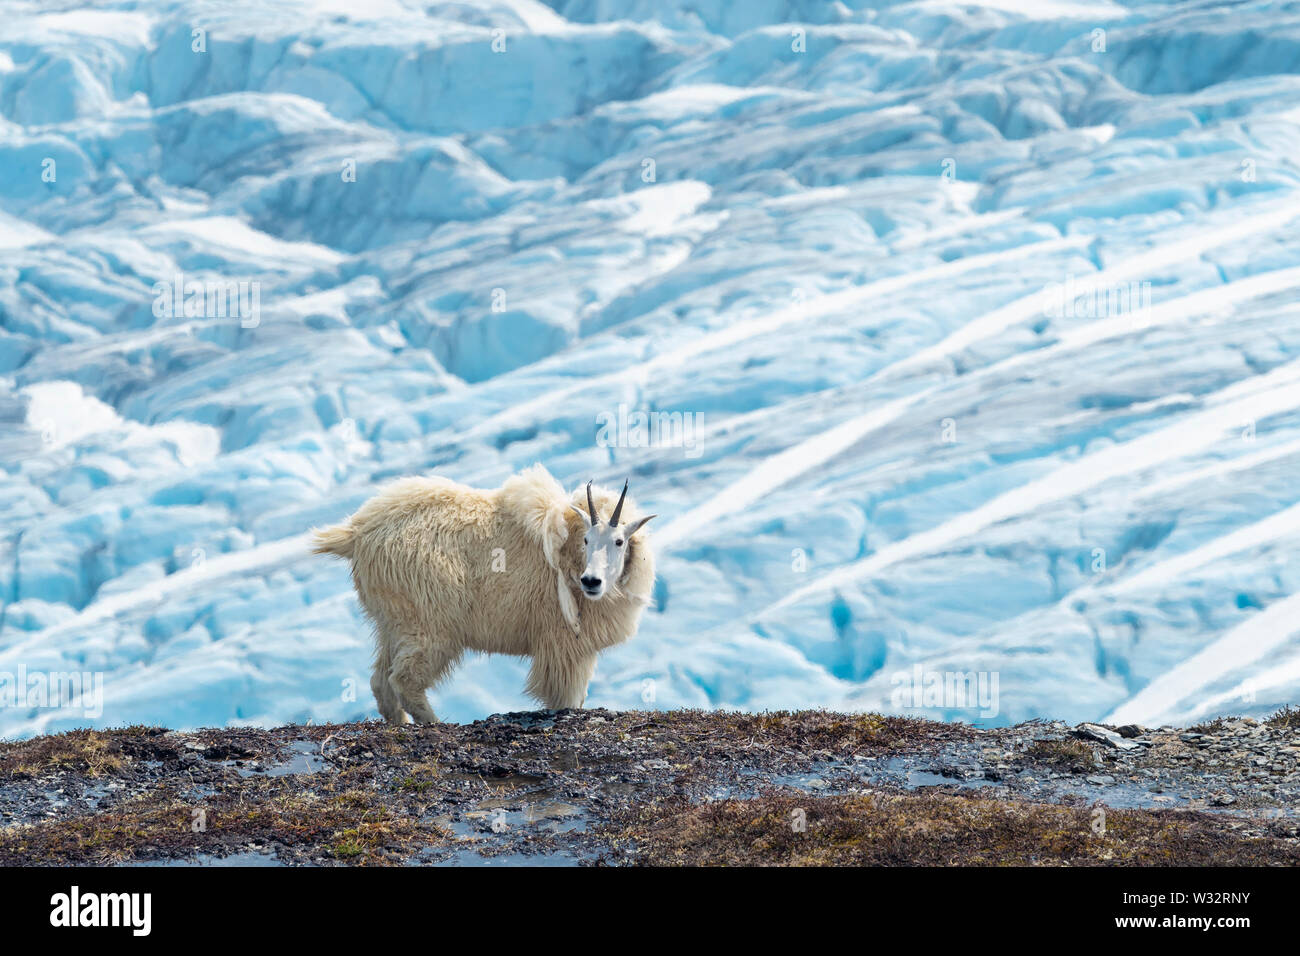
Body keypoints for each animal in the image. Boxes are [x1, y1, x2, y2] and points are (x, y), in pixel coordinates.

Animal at [309, 465, 655, 723]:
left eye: (620, 541)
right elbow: (566, 698)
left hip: (392, 618)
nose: (590, 581)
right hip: (429, 619)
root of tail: (357, 533)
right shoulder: (563, 644)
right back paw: (435, 722)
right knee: (404, 679)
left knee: (381, 679)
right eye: (586, 540)